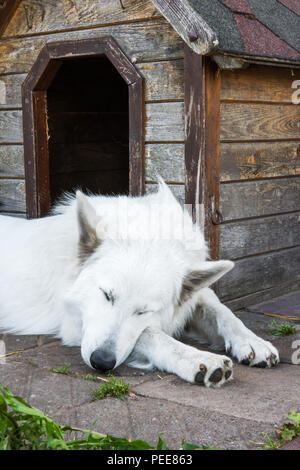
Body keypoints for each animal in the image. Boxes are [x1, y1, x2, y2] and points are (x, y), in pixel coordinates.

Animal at [0, 179, 278, 386]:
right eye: (106, 295)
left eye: (143, 311)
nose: (102, 362)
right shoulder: (76, 324)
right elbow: (151, 335)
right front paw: (198, 359)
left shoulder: (192, 298)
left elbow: (220, 310)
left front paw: (252, 340)